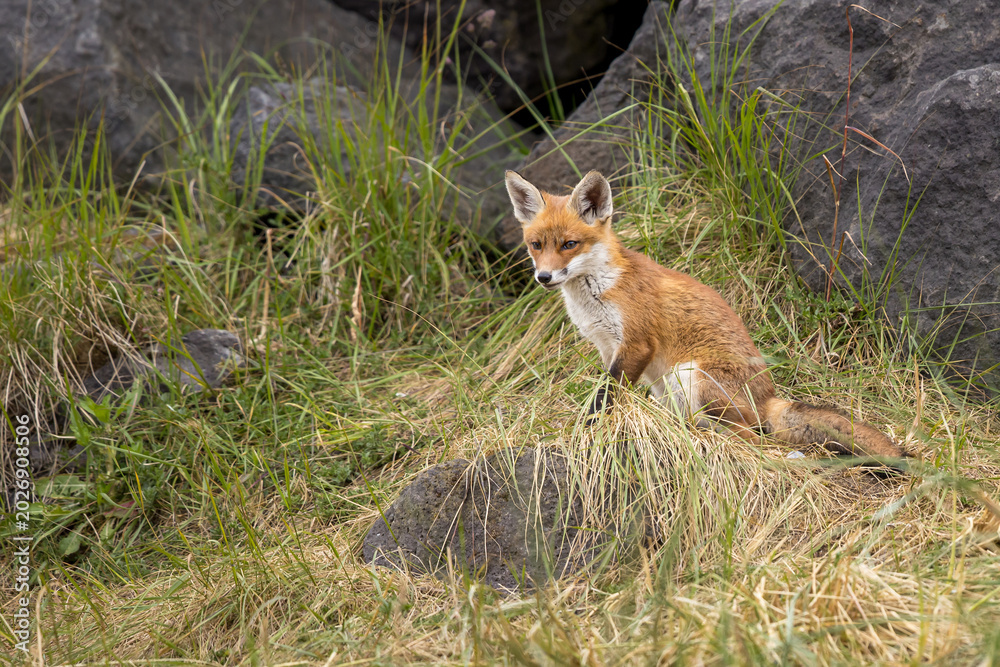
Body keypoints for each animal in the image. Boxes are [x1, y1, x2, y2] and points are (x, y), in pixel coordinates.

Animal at [504, 169, 908, 463]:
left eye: (569, 244)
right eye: (536, 245)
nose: (544, 277)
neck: (599, 290)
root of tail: (769, 397)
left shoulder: (636, 343)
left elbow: (605, 397)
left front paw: (588, 429)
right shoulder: (607, 346)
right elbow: (606, 392)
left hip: (691, 375)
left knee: (753, 438)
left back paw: (704, 440)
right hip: (666, 385)